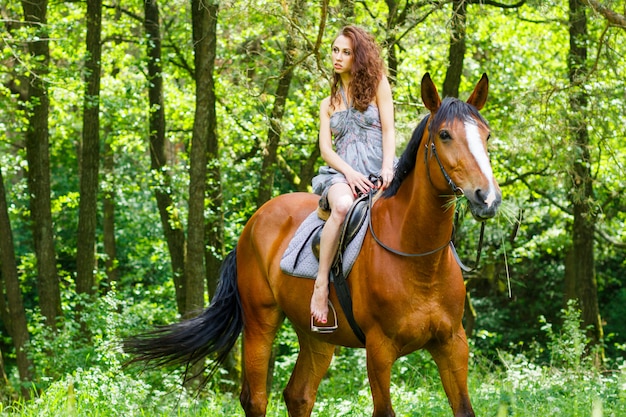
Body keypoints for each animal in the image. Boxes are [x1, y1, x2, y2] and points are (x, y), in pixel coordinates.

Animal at [124, 74, 500, 416]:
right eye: (445, 135)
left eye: (486, 134)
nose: (488, 198)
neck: (418, 258)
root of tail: (252, 224)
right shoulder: (379, 351)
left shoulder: (452, 344)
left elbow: (464, 408)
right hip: (260, 323)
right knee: (255, 399)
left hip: (316, 336)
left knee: (299, 395)